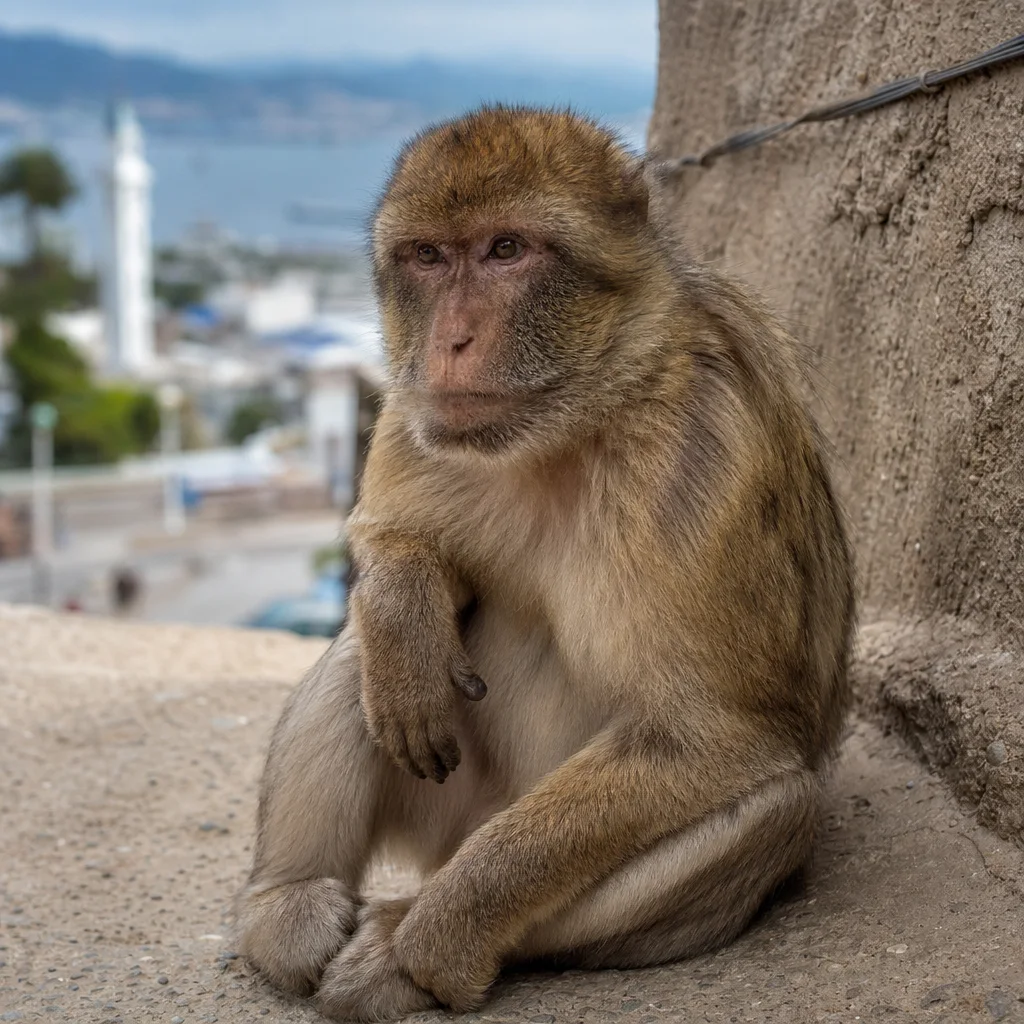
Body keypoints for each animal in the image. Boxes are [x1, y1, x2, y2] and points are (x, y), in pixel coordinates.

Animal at [235, 106, 855, 1022]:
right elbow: (392, 540)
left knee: (775, 806)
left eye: (506, 250)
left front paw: (440, 935)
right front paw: (405, 599)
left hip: (489, 831)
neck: (575, 422)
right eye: (428, 256)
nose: (451, 341)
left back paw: (409, 946)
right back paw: (287, 903)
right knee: (367, 656)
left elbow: (709, 736)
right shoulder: (421, 411)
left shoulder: (700, 450)